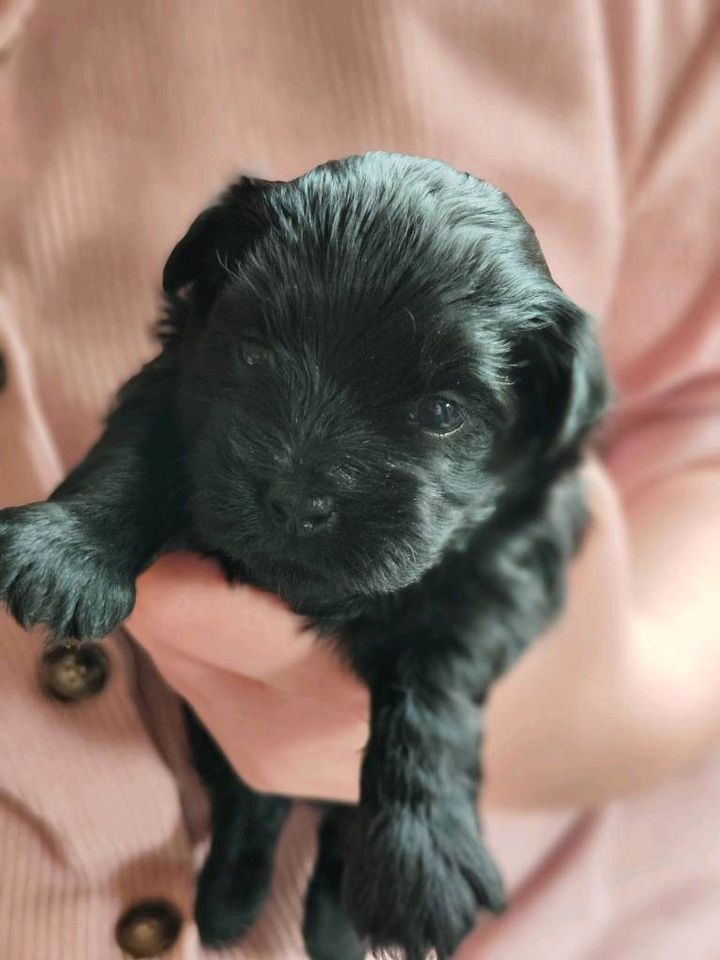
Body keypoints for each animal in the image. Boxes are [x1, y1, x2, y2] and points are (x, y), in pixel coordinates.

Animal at [0, 154, 608, 956]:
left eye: (442, 412)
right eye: (255, 354)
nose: (296, 499)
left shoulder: (505, 565)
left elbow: (435, 682)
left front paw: (421, 858)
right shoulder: (178, 385)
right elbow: (134, 454)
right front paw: (67, 551)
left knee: (335, 834)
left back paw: (335, 926)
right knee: (252, 800)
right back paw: (228, 904)